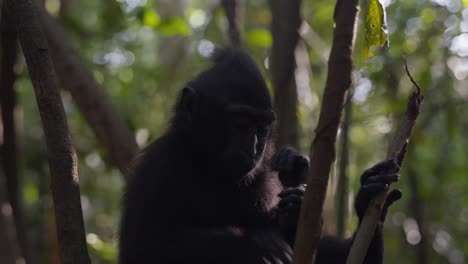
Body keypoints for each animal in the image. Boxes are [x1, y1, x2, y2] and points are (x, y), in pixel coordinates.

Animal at [119, 48, 400, 262]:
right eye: (241, 122)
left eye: (263, 126)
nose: (255, 148)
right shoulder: (156, 170)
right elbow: (146, 249)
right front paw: (257, 244)